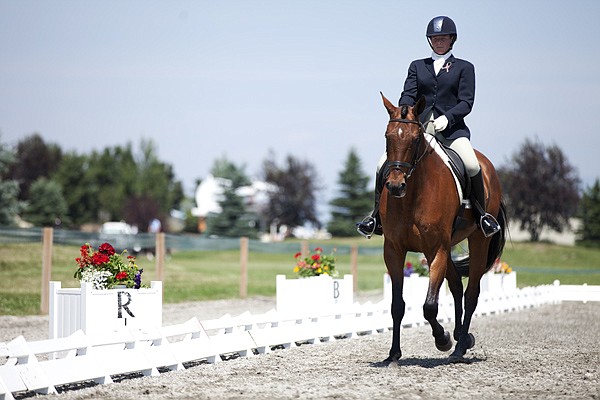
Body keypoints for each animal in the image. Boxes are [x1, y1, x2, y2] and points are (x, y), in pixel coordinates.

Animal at [380, 93, 506, 362]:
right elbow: (397, 305)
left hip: (478, 240)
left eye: (415, 139)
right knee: (457, 286)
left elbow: (429, 306)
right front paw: (394, 354)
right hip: (449, 245)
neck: (413, 194)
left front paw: (443, 339)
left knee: (471, 294)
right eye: (387, 136)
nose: (395, 186)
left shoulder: (436, 248)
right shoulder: (393, 250)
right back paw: (462, 337)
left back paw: (458, 348)